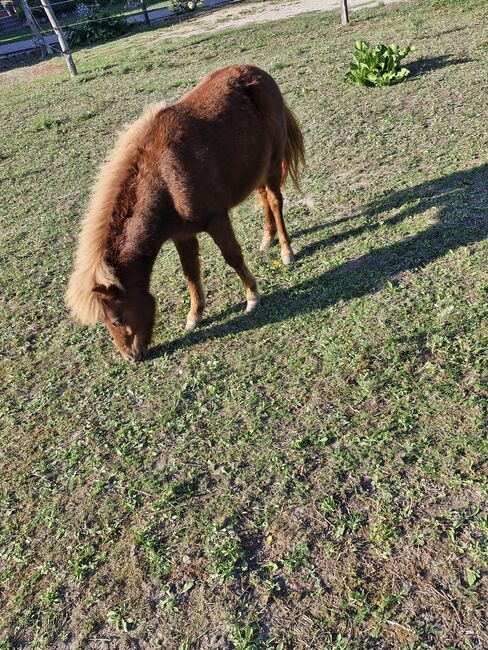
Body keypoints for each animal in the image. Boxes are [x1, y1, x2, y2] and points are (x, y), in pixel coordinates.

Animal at [65, 64, 304, 360]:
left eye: (117, 320)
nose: (130, 357)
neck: (164, 180)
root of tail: (258, 73)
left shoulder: (217, 220)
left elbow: (232, 256)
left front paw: (252, 296)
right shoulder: (182, 235)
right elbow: (190, 273)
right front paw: (195, 315)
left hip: (271, 165)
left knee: (274, 200)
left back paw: (285, 250)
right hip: (254, 169)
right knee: (263, 199)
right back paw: (267, 238)